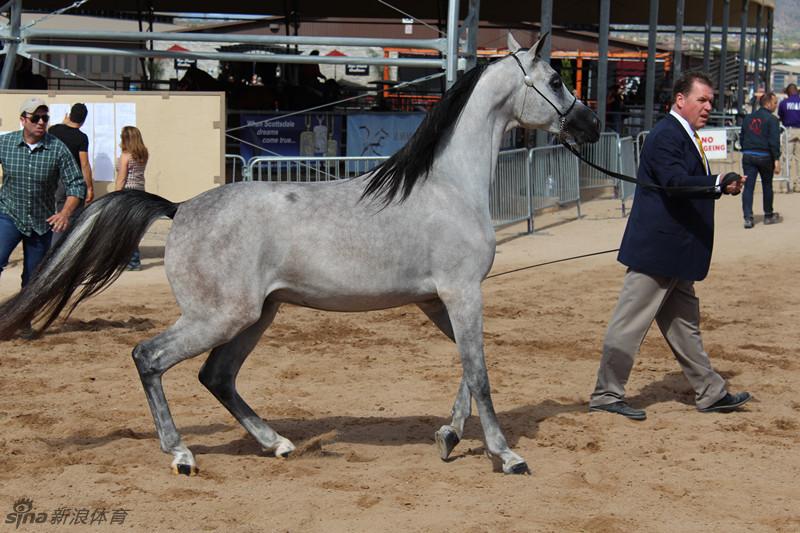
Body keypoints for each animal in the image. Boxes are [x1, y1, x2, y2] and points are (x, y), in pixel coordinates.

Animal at [0, 34, 600, 474]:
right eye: (554, 80)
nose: (591, 125)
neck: (448, 186)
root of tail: (178, 208)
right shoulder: (460, 292)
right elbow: (479, 374)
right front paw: (507, 456)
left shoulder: (440, 299)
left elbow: (468, 368)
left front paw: (449, 436)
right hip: (221, 316)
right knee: (149, 357)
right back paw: (182, 455)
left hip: (257, 315)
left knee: (217, 377)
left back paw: (277, 444)